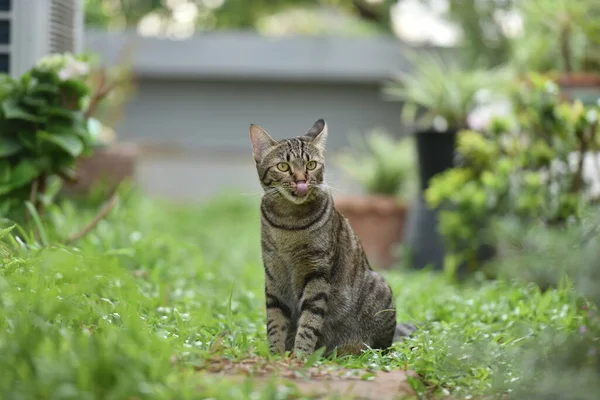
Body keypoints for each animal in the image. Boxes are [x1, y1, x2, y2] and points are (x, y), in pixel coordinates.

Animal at [251, 119, 414, 356]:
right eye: (283, 167)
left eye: (311, 165)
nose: (301, 181)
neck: (289, 222)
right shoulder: (273, 274)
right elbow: (275, 321)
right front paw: (276, 355)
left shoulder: (318, 273)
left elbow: (309, 322)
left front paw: (299, 356)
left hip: (380, 288)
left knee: (379, 347)